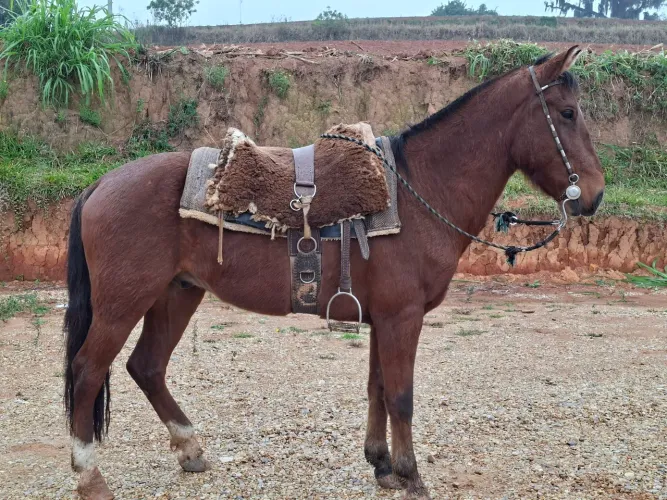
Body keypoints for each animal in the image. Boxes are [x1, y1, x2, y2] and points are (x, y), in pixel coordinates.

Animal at [63, 46, 605, 499]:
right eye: (567, 113)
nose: (595, 194)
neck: (420, 191)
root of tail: (99, 185)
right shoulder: (402, 317)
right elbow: (402, 397)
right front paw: (411, 476)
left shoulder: (383, 318)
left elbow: (378, 389)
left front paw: (382, 465)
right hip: (123, 303)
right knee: (87, 372)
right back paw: (90, 477)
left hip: (176, 293)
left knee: (146, 367)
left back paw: (190, 449)